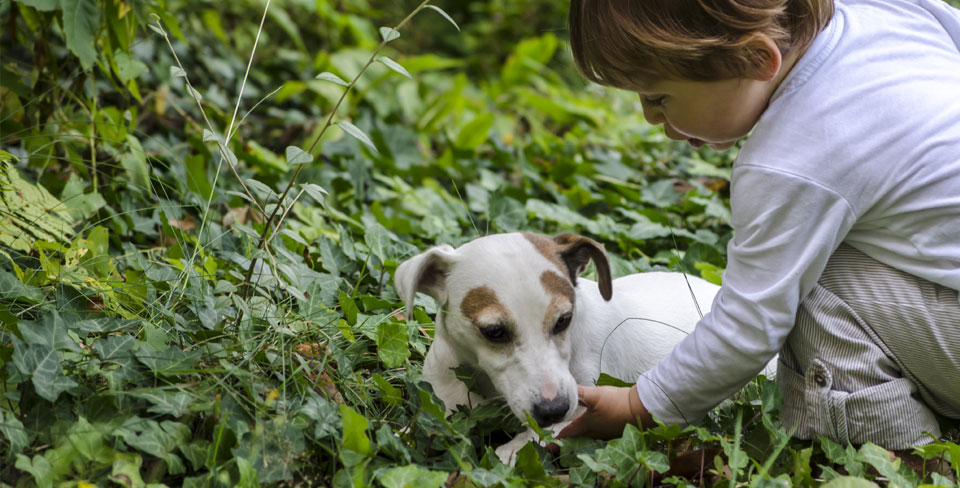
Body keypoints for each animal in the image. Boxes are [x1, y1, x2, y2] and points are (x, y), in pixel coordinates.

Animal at [394, 232, 740, 462]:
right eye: (493, 331)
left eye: (563, 321)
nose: (554, 409)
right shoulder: (441, 398)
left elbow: (530, 442)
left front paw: (507, 453)